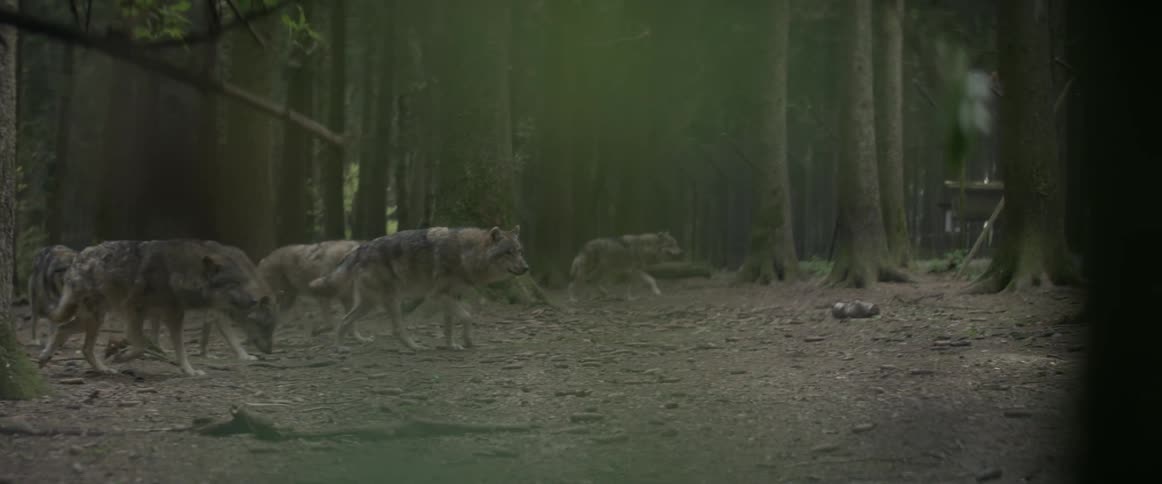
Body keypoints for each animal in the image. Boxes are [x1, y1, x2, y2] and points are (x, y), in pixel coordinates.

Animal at [43, 239, 278, 376]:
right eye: (234, 284)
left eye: (244, 282)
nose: (253, 301)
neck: (181, 274)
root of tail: (80, 256)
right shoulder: (136, 311)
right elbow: (141, 344)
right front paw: (122, 356)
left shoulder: (172, 316)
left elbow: (177, 349)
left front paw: (190, 371)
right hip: (96, 317)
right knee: (73, 337)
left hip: (95, 317)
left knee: (69, 334)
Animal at [309, 226, 529, 351]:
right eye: (508, 252)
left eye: (519, 251)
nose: (527, 268)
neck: (467, 254)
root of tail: (360, 248)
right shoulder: (439, 295)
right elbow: (467, 317)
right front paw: (468, 341)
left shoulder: (452, 297)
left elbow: (449, 326)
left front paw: (452, 346)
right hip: (383, 301)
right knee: (352, 322)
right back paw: (340, 348)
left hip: (373, 303)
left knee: (354, 322)